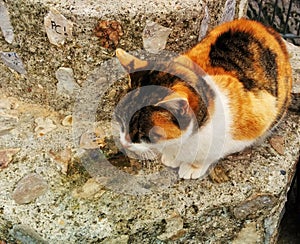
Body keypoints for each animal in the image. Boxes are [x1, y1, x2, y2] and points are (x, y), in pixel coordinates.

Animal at [113, 18, 292, 179]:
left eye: (144, 134)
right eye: (120, 120)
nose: (124, 143)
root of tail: (262, 25)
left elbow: (209, 155)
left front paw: (192, 167)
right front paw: (172, 158)